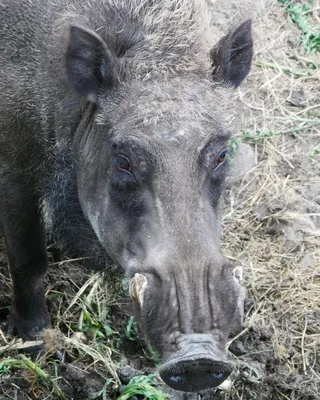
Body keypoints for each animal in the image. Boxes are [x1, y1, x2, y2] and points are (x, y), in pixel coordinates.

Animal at [0, 0, 252, 394]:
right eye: (123, 161)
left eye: (222, 154)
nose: (199, 358)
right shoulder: (14, 165)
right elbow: (30, 261)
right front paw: (37, 344)